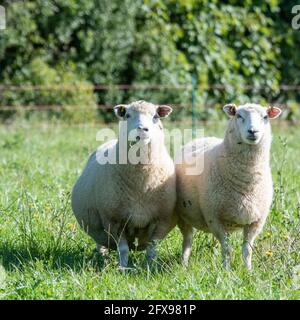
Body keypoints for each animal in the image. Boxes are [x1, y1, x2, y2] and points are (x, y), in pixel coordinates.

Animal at [71, 100, 177, 268]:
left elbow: (151, 249)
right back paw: (103, 258)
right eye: (127, 115)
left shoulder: (161, 221)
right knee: (100, 244)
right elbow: (123, 249)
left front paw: (149, 267)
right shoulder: (114, 220)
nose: (142, 129)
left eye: (155, 116)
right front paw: (123, 268)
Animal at [176, 104, 282, 268]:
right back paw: (184, 265)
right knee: (187, 240)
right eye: (239, 115)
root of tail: (202, 138)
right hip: (183, 215)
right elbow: (227, 249)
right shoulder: (214, 217)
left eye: (265, 117)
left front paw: (248, 270)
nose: (253, 131)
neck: (246, 183)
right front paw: (226, 269)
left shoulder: (256, 221)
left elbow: (247, 249)